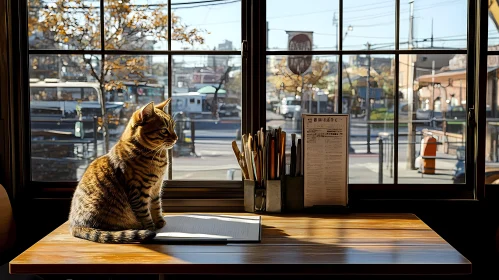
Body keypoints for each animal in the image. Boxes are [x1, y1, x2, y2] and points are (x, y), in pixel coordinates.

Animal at [68, 100, 178, 243]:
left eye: (173, 127)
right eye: (164, 131)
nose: (176, 138)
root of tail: (75, 226)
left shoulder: (156, 188)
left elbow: (156, 206)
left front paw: (160, 222)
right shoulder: (139, 191)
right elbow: (145, 214)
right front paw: (151, 228)